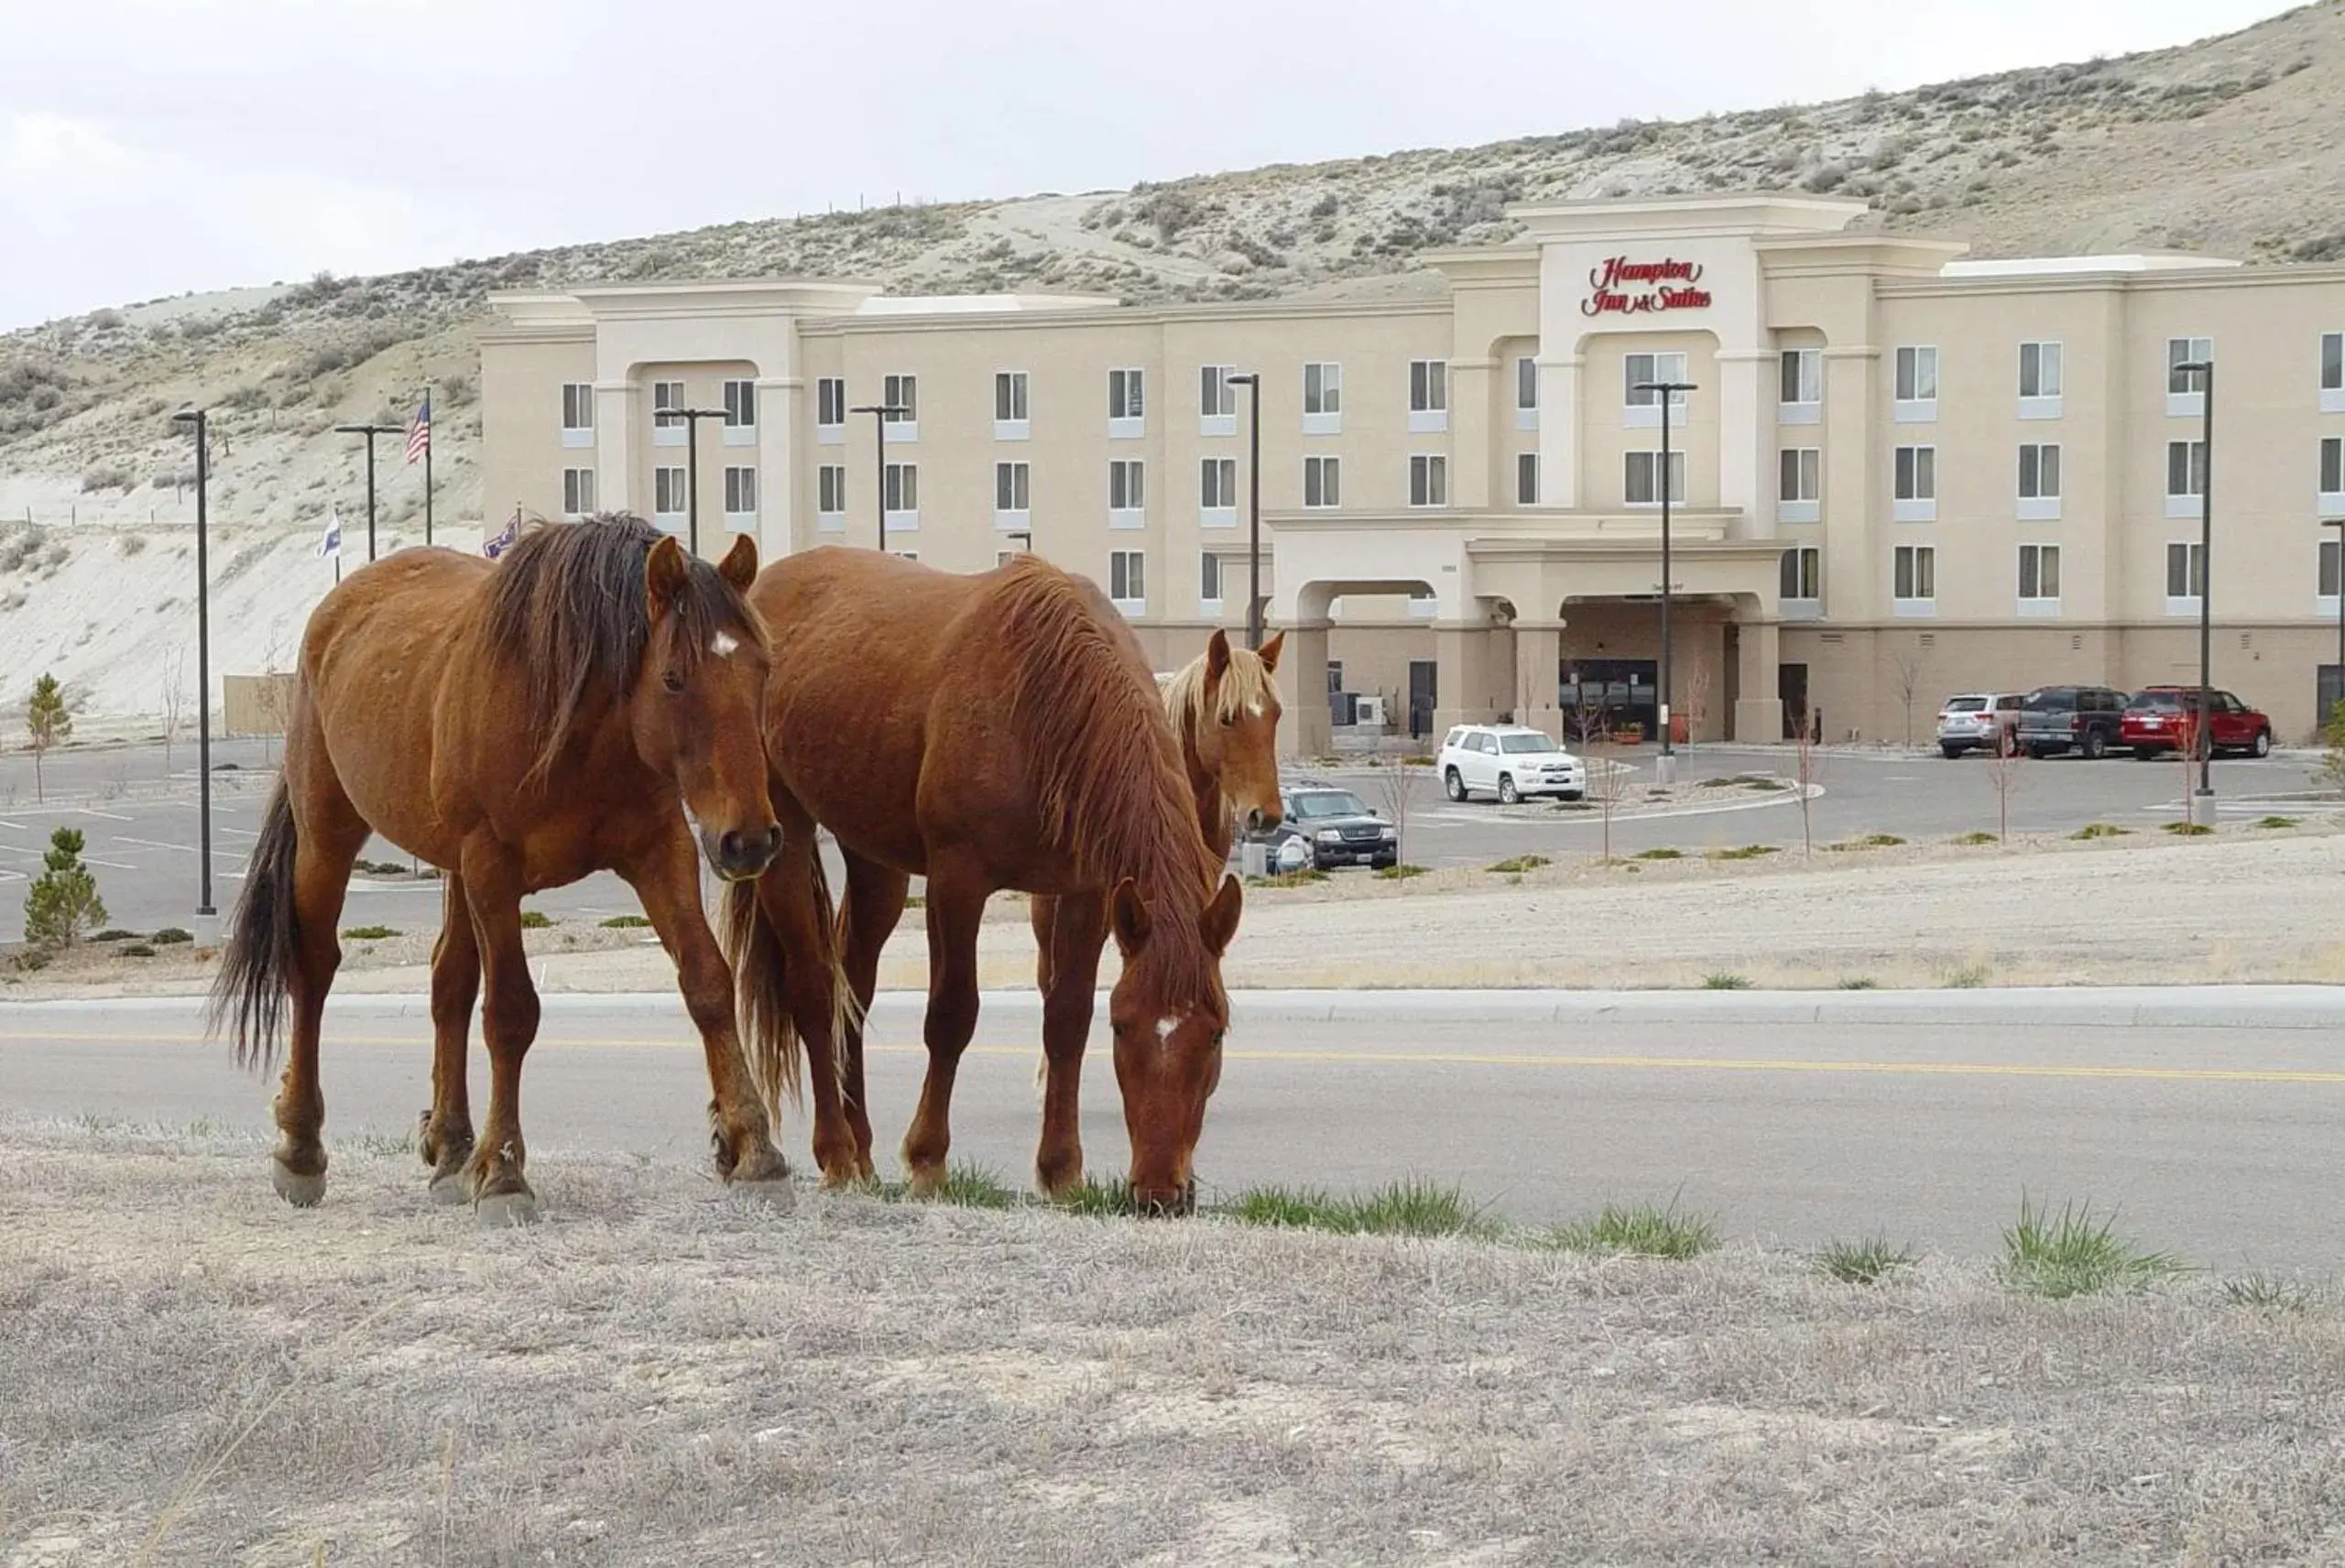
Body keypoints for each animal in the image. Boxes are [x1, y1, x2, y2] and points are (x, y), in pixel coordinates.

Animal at [206, 513, 788, 1218]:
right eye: (674, 677)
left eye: (763, 670)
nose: (749, 840)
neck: (578, 725)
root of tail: (334, 611)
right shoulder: (492, 865)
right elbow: (510, 1011)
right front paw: (506, 1171)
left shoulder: (661, 849)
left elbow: (708, 982)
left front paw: (754, 1147)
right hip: (329, 835)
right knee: (314, 969)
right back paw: (301, 1146)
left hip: (452, 867)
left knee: (448, 982)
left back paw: (453, 1145)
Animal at [717, 543, 1247, 1209]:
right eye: (1124, 1028)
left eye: (1218, 1032)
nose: (1158, 1192)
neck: (1044, 704)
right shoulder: (957, 882)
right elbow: (951, 1015)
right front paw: (927, 1159)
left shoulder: (1086, 893)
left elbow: (1066, 1019)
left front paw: (1061, 1170)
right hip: (782, 830)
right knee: (813, 986)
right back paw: (836, 1152)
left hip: (876, 860)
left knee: (852, 987)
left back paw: (861, 1149)